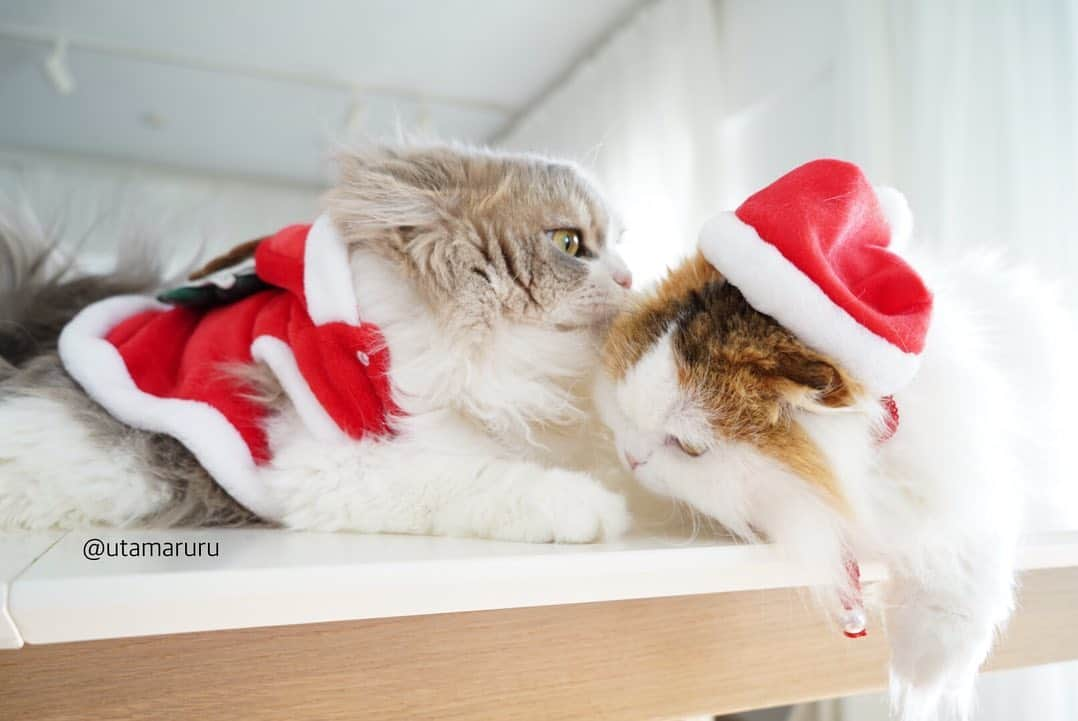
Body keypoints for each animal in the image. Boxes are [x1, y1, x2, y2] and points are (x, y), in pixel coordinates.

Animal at [595, 161, 1078, 719]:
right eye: (624, 404)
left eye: (691, 447)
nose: (630, 458)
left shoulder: (978, 478)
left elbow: (962, 570)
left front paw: (923, 675)